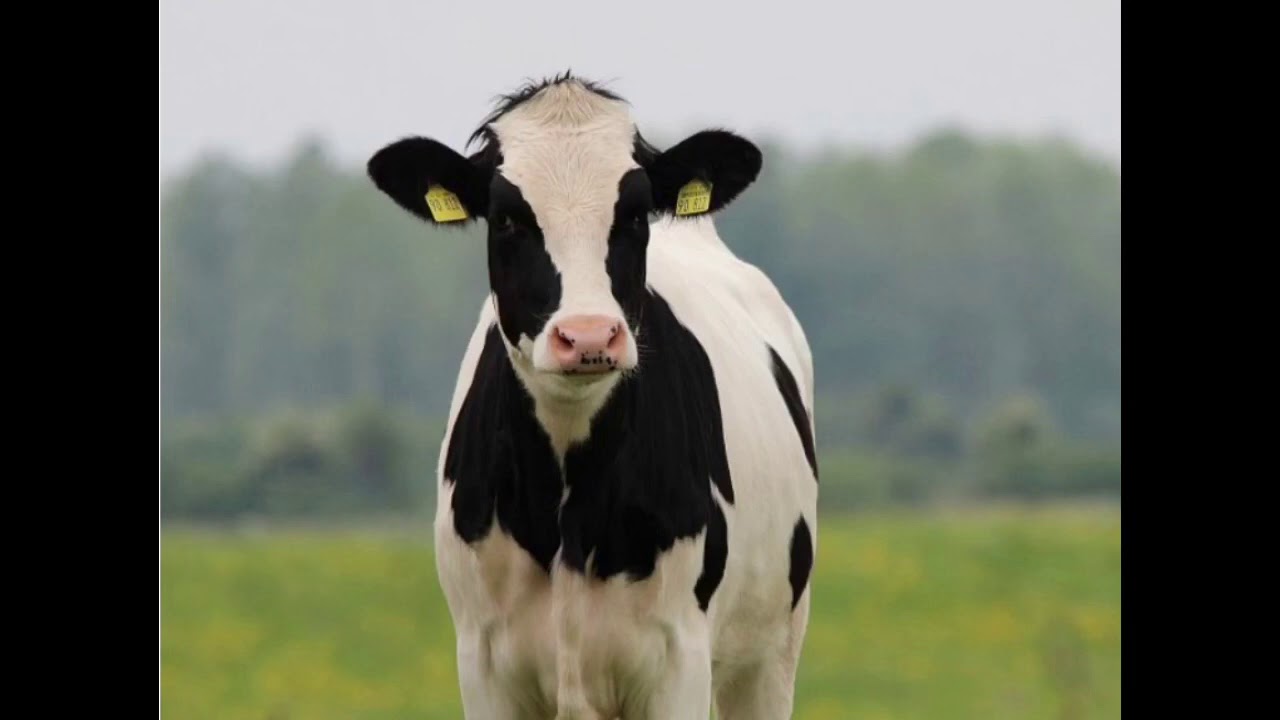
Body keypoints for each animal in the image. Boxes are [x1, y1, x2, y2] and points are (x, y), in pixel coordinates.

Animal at [368, 72, 818, 720]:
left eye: (634, 214)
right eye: (506, 218)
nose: (587, 336)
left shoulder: (679, 660)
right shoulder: (482, 664)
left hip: (771, 652)